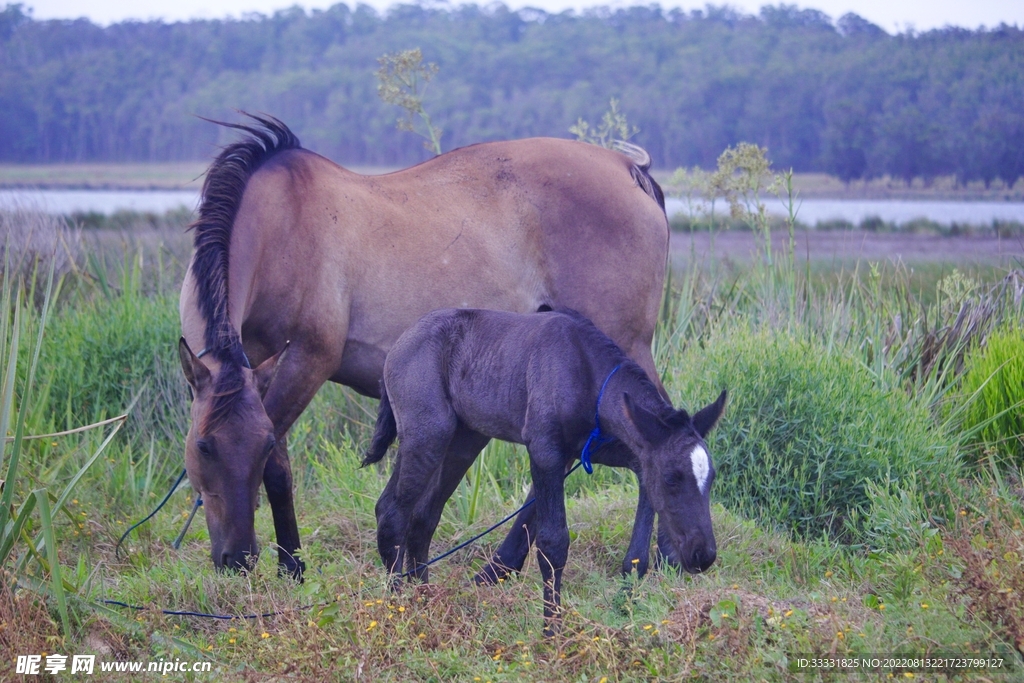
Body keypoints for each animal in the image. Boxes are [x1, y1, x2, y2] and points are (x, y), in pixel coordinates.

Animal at [177, 114, 670, 579]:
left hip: (622, 351)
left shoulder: (307, 361)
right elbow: (281, 466)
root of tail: (627, 168)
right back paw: (501, 567)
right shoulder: (261, 365)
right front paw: (291, 565)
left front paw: (292, 566)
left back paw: (639, 561)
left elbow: (277, 468)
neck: (283, 228)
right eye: (203, 446)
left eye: (248, 450)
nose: (237, 557)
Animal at [364, 308, 725, 634]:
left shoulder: (614, 452)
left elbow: (636, 547)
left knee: (423, 516)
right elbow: (553, 542)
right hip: (429, 434)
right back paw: (397, 606)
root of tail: (400, 343)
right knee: (392, 511)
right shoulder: (545, 452)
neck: (586, 374)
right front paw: (553, 633)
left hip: (465, 440)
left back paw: (425, 600)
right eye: (672, 478)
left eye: (710, 479)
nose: (702, 555)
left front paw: (626, 607)